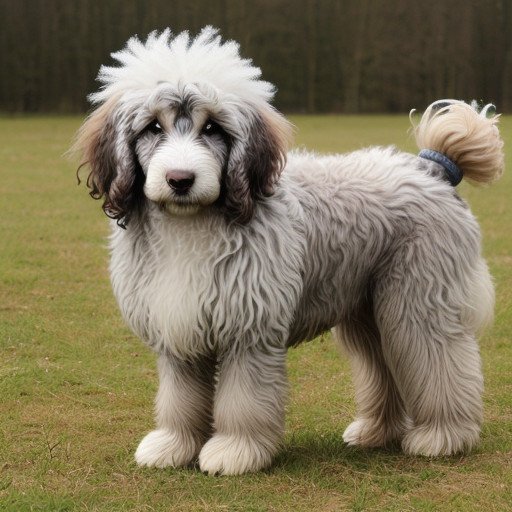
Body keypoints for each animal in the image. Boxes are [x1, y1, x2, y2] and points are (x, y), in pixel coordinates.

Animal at [72, 27, 504, 476]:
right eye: (154, 126)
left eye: (213, 128)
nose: (180, 179)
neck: (191, 224)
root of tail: (432, 170)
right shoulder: (178, 326)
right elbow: (180, 400)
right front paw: (174, 446)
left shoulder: (249, 331)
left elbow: (243, 400)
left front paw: (235, 451)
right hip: (368, 310)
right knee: (384, 367)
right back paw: (376, 433)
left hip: (420, 303)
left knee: (441, 362)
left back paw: (443, 436)